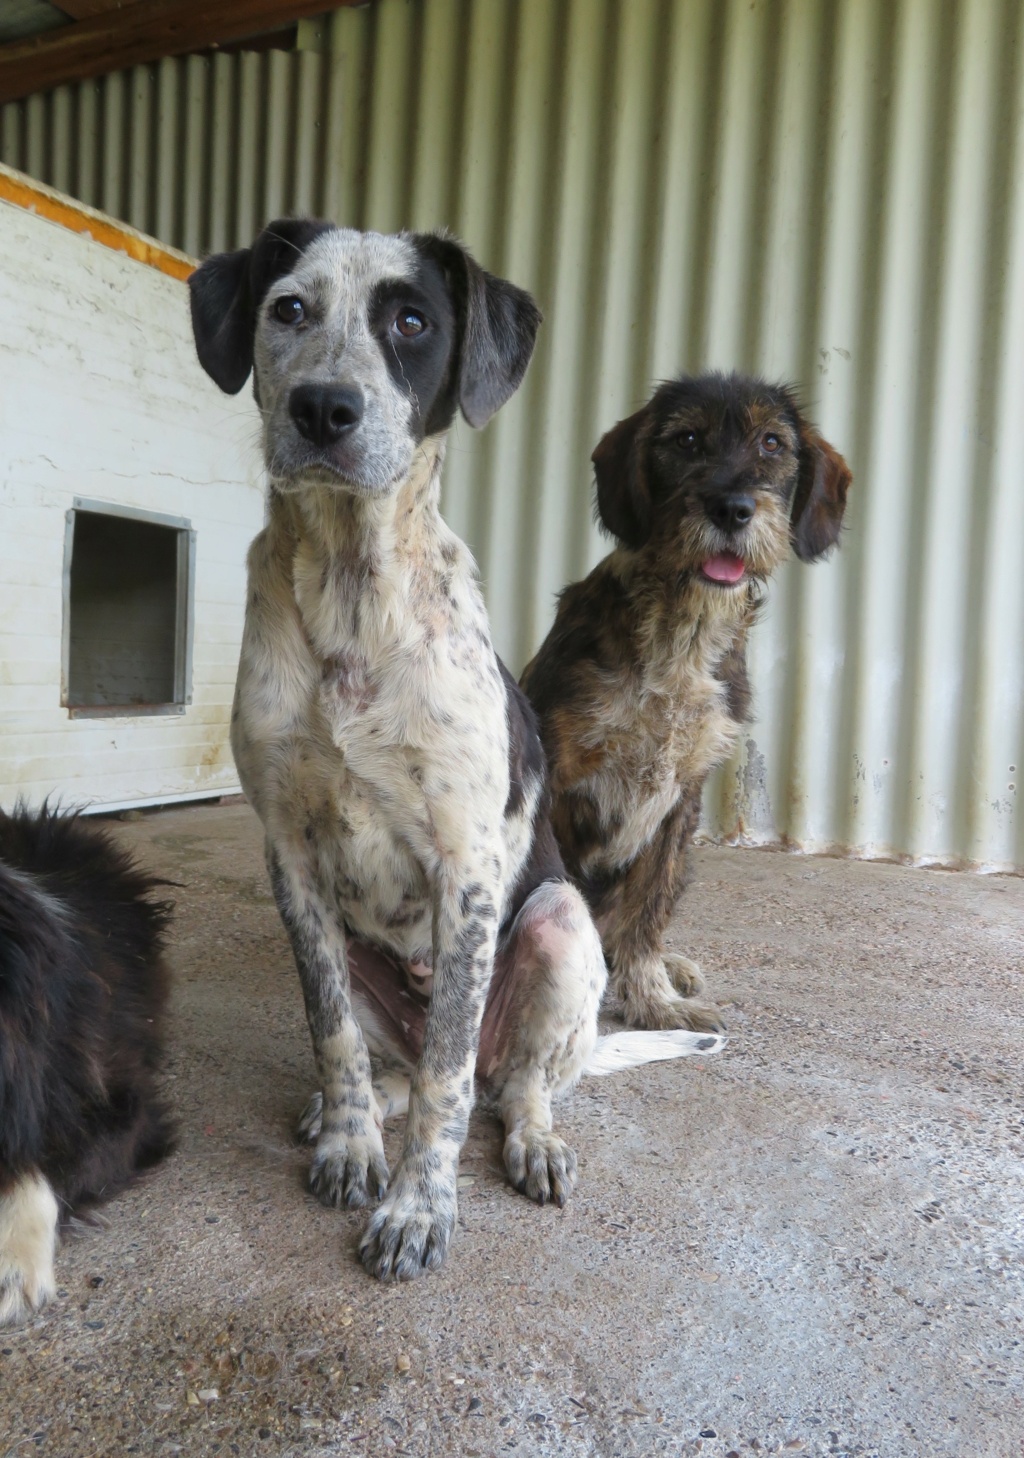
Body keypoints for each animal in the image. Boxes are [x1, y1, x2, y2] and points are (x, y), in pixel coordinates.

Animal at [191, 221, 723, 1283]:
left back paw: (532, 1137)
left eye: (410, 322)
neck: (353, 592)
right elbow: (334, 1035)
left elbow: (444, 1083)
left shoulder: (468, 865)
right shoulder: (290, 860)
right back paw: (354, 1110)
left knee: (507, 1080)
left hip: (559, 926)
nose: (324, 409)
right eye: (289, 310)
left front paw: (416, 1208)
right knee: (401, 1060)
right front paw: (353, 1143)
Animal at [522, 376, 851, 1038]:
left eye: (773, 443)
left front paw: (653, 998)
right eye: (687, 440)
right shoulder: (556, 775)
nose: (732, 508)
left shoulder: (683, 799)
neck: (682, 630)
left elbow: (648, 908)